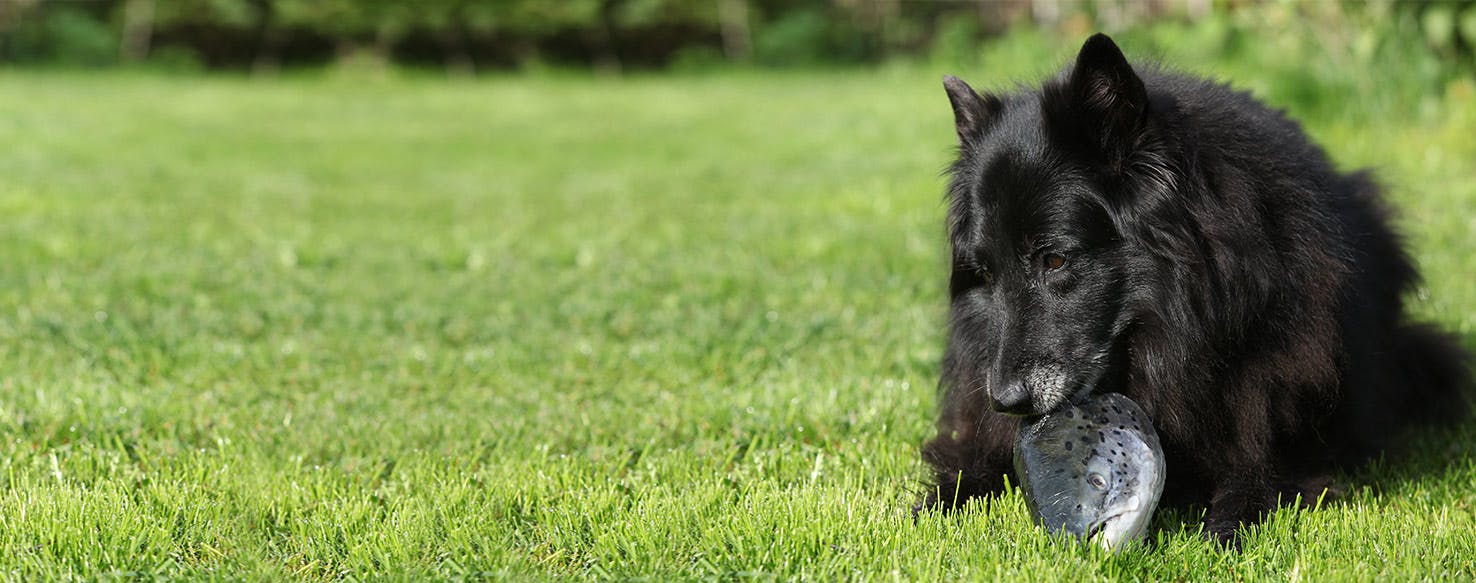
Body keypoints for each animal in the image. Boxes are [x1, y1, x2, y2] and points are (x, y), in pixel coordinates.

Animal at [915, 31, 1470, 543]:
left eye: (1054, 259)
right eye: (986, 274)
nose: (1003, 400)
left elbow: (1256, 479)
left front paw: (1222, 530)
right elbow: (968, 466)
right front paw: (934, 506)